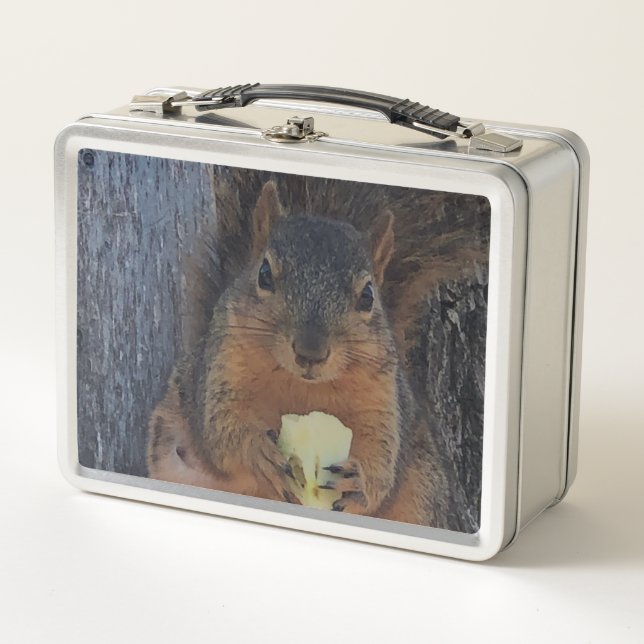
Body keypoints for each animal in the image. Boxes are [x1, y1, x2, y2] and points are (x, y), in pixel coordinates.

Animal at [147, 180, 454, 528]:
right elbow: (222, 429)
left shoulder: (383, 400)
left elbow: (382, 459)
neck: (302, 387)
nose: (310, 352)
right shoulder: (222, 368)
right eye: (264, 274)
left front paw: (360, 480)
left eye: (367, 296)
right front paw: (258, 452)